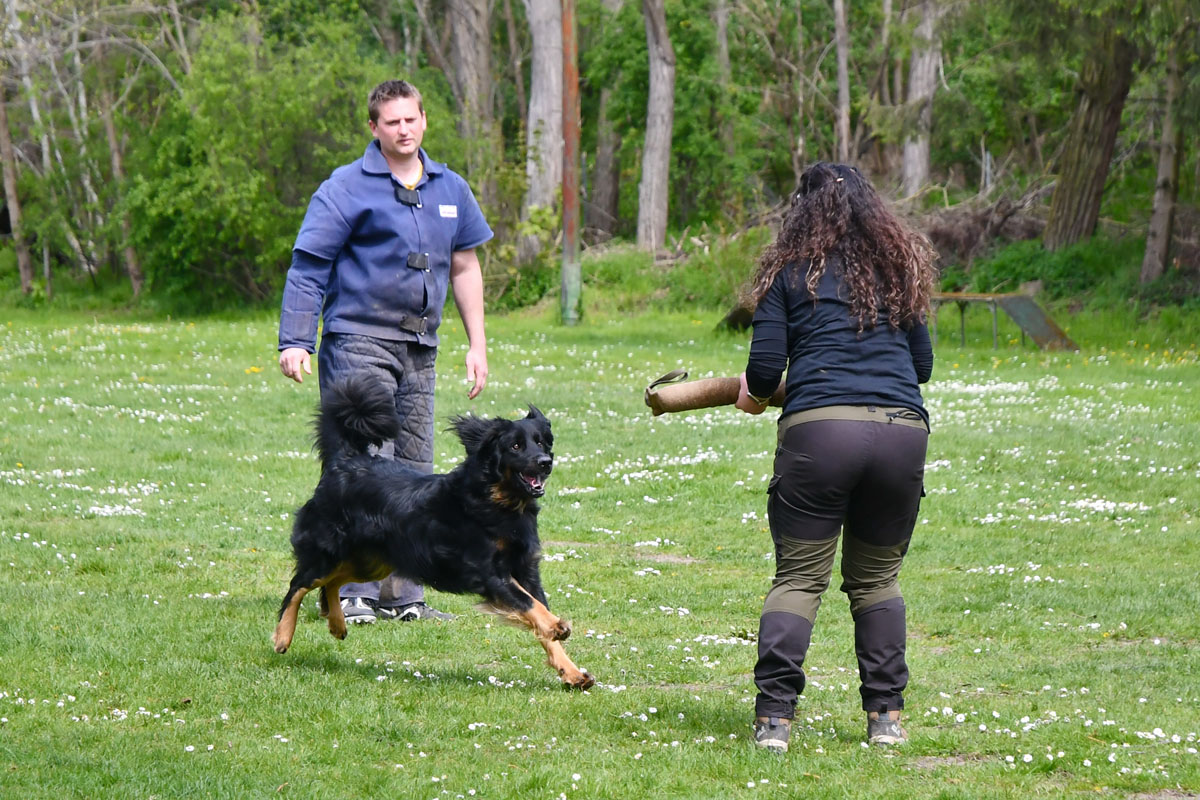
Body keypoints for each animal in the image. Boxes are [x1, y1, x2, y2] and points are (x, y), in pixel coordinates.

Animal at [270, 371, 592, 690]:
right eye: (515, 446)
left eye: (542, 443)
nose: (545, 463)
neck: (498, 501)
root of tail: (344, 461)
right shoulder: (490, 572)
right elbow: (529, 604)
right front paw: (556, 625)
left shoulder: (526, 569)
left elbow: (537, 610)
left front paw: (571, 671)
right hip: (330, 550)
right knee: (300, 584)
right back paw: (283, 635)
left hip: (373, 561)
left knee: (332, 583)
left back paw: (337, 624)